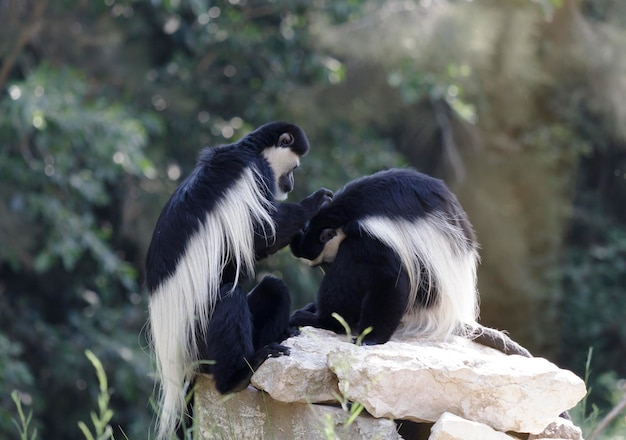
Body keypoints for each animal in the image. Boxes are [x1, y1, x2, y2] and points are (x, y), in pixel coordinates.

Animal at [146, 121, 332, 440]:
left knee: (273, 288)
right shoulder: (254, 177)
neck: (251, 151)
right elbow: (262, 235)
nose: (291, 183)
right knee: (228, 299)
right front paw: (314, 202)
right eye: (294, 167)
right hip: (197, 339)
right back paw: (238, 375)